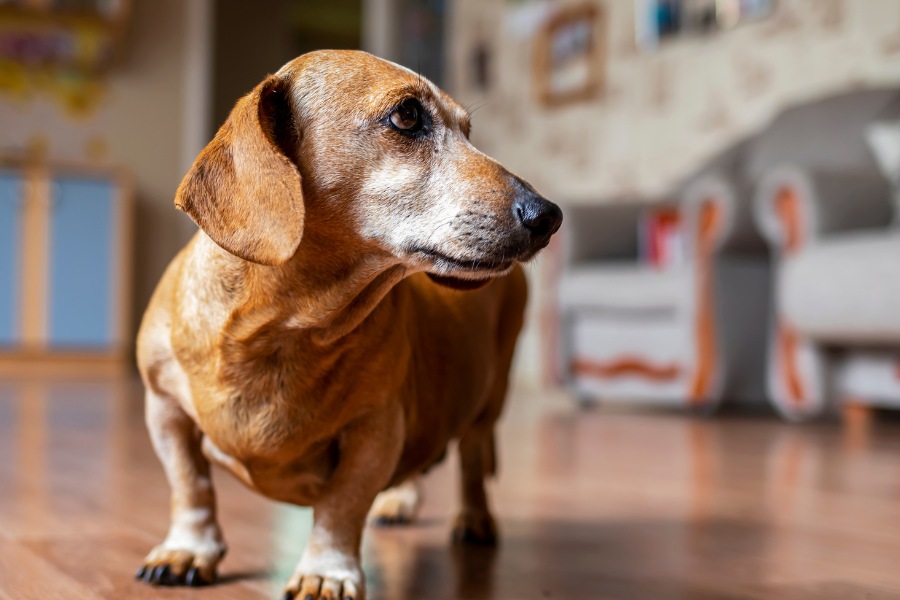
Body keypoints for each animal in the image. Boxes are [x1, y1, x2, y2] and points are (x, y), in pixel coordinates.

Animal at [134, 49, 560, 596]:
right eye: (407, 116)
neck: (286, 328)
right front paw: (188, 549)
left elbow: (342, 505)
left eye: (469, 131)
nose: (549, 216)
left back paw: (473, 518)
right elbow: (190, 486)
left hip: (489, 398)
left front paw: (326, 571)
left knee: (470, 461)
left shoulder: (375, 429)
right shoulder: (164, 407)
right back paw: (398, 500)